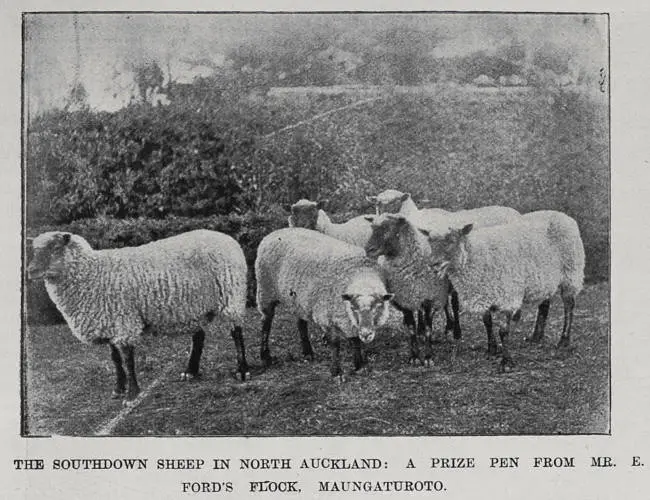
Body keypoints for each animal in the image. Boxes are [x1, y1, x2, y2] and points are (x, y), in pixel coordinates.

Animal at [27, 230, 248, 402]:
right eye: (34, 250)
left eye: (55, 248)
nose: (30, 271)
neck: (92, 271)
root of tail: (227, 238)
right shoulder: (110, 322)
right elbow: (115, 359)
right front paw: (118, 389)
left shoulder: (124, 321)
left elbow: (127, 360)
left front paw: (132, 394)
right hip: (195, 307)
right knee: (199, 337)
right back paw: (190, 371)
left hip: (231, 293)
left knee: (236, 332)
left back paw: (242, 370)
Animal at [256, 227, 392, 378]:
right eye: (353, 307)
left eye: (378, 306)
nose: (366, 334)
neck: (360, 276)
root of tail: (275, 232)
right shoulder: (326, 315)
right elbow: (335, 343)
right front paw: (336, 371)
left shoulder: (347, 318)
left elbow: (355, 340)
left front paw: (359, 365)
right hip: (265, 290)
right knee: (266, 322)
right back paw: (265, 356)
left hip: (298, 299)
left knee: (301, 323)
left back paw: (307, 352)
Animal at [362, 213, 448, 366]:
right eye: (372, 227)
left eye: (388, 228)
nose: (368, 249)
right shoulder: (405, 299)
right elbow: (411, 329)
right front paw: (414, 356)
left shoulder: (429, 298)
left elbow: (429, 329)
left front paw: (428, 357)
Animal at [422, 210, 584, 372]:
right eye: (430, 242)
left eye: (451, 240)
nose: (433, 264)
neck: (475, 255)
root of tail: (560, 214)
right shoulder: (484, 292)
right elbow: (487, 322)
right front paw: (492, 349)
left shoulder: (508, 295)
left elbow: (503, 331)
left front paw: (506, 362)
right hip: (544, 278)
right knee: (544, 304)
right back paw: (536, 336)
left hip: (571, 272)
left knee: (569, 305)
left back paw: (564, 340)